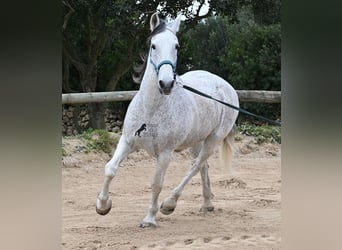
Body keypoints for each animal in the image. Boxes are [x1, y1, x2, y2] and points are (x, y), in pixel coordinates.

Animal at [95, 12, 239, 228]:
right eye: (153, 45)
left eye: (176, 46)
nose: (166, 84)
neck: (151, 109)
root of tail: (225, 86)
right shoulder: (127, 141)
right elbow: (110, 169)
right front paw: (103, 206)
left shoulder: (165, 153)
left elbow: (157, 184)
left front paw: (150, 219)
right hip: (196, 141)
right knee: (202, 167)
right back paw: (207, 204)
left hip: (213, 140)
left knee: (195, 166)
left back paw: (170, 204)